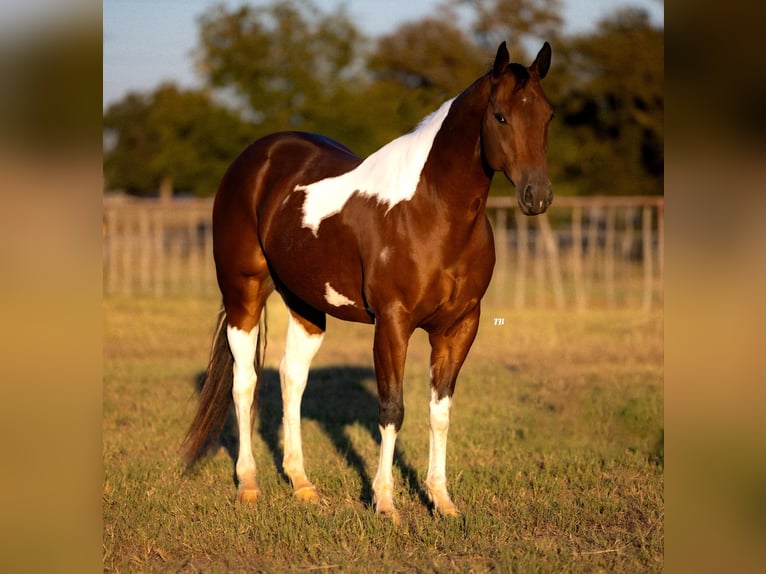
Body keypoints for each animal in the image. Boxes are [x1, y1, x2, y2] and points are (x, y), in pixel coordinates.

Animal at [182, 41, 554, 523]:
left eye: (548, 115)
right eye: (500, 115)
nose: (537, 196)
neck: (432, 210)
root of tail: (254, 158)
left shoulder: (459, 327)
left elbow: (440, 412)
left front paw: (441, 500)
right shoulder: (392, 324)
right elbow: (392, 409)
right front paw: (386, 503)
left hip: (305, 304)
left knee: (291, 377)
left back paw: (302, 484)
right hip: (242, 294)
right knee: (244, 382)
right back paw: (248, 485)